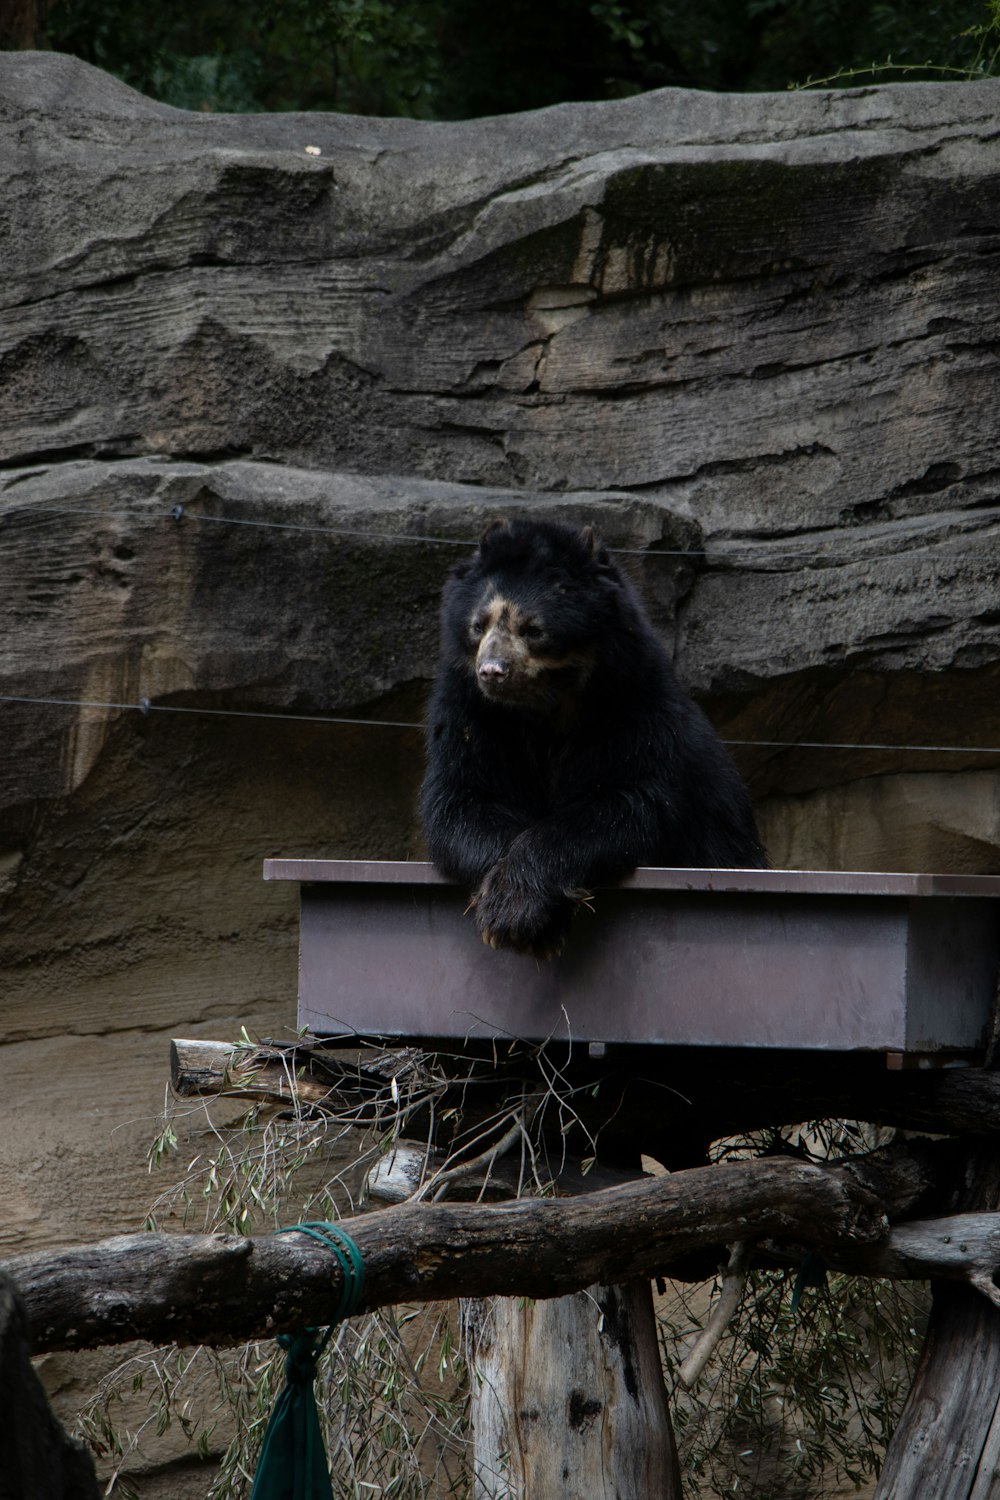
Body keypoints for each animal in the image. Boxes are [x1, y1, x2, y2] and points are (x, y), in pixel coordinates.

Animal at [416, 516, 767, 960]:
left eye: (534, 629)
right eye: (478, 625)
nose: (492, 671)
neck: (543, 705)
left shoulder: (629, 702)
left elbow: (621, 798)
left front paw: (518, 911)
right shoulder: (469, 710)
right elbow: (466, 795)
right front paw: (513, 910)